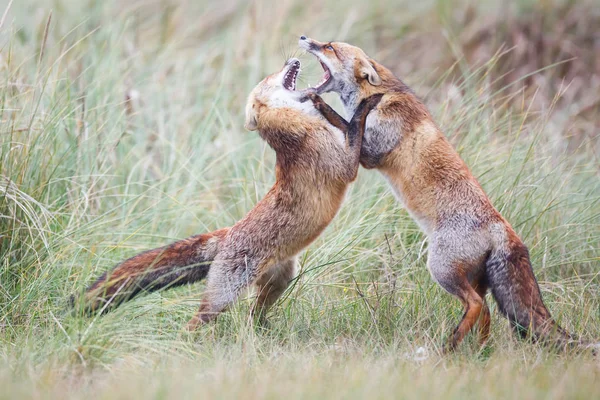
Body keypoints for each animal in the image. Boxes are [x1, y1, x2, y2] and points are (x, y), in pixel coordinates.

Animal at [298, 36, 592, 352]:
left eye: (329, 47)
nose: (305, 38)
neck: (379, 94)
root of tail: (502, 226)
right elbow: (349, 122)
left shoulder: (370, 153)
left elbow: (349, 122)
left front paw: (324, 104)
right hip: (470, 278)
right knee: (485, 311)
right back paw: (477, 350)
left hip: (441, 268)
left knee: (476, 305)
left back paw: (449, 347)